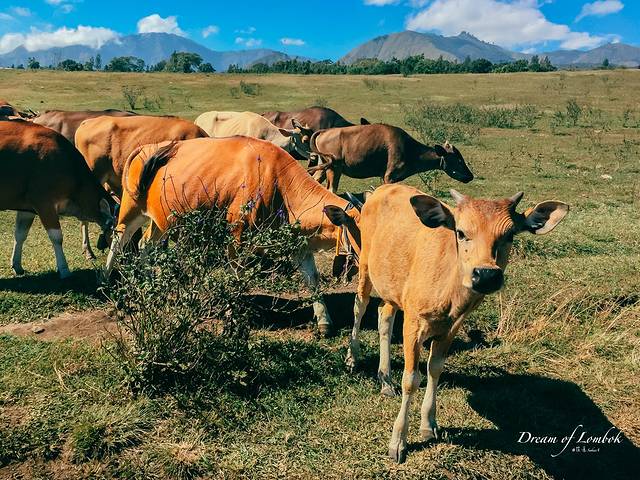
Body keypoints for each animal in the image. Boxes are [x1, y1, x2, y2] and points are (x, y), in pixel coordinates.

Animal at [0, 121, 115, 278]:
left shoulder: (27, 209)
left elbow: (20, 234)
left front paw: (17, 265)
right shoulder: (44, 204)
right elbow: (57, 237)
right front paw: (64, 269)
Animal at [105, 136, 361, 336]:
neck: (279, 182)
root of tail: (146, 148)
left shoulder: (297, 245)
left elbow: (313, 279)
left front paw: (324, 322)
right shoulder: (236, 239)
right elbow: (235, 278)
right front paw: (232, 320)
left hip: (161, 221)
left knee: (145, 245)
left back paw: (150, 286)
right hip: (131, 208)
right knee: (118, 240)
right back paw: (106, 282)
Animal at [307, 123, 474, 193]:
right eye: (458, 160)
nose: (470, 176)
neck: (409, 148)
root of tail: (324, 131)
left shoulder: (383, 177)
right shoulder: (390, 176)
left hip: (324, 167)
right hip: (334, 169)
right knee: (331, 189)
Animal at [345, 184, 569, 463]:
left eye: (510, 235)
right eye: (461, 233)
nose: (486, 275)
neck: (449, 292)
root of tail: (382, 188)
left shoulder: (452, 327)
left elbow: (435, 369)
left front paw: (428, 425)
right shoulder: (413, 322)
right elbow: (411, 378)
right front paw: (398, 443)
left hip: (393, 289)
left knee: (383, 314)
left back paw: (385, 380)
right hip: (364, 262)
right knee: (360, 305)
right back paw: (352, 357)